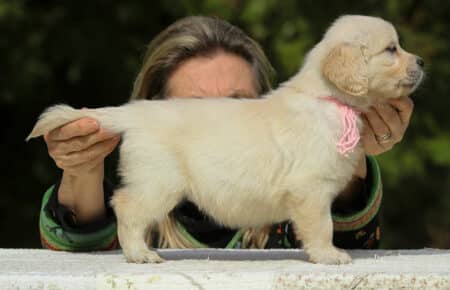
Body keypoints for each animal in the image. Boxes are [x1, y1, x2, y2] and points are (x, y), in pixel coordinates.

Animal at [29, 16, 426, 266]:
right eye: (391, 49)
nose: (422, 61)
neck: (327, 98)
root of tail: (135, 112)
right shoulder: (310, 190)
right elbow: (322, 225)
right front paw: (329, 255)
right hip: (157, 182)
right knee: (125, 207)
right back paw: (139, 254)